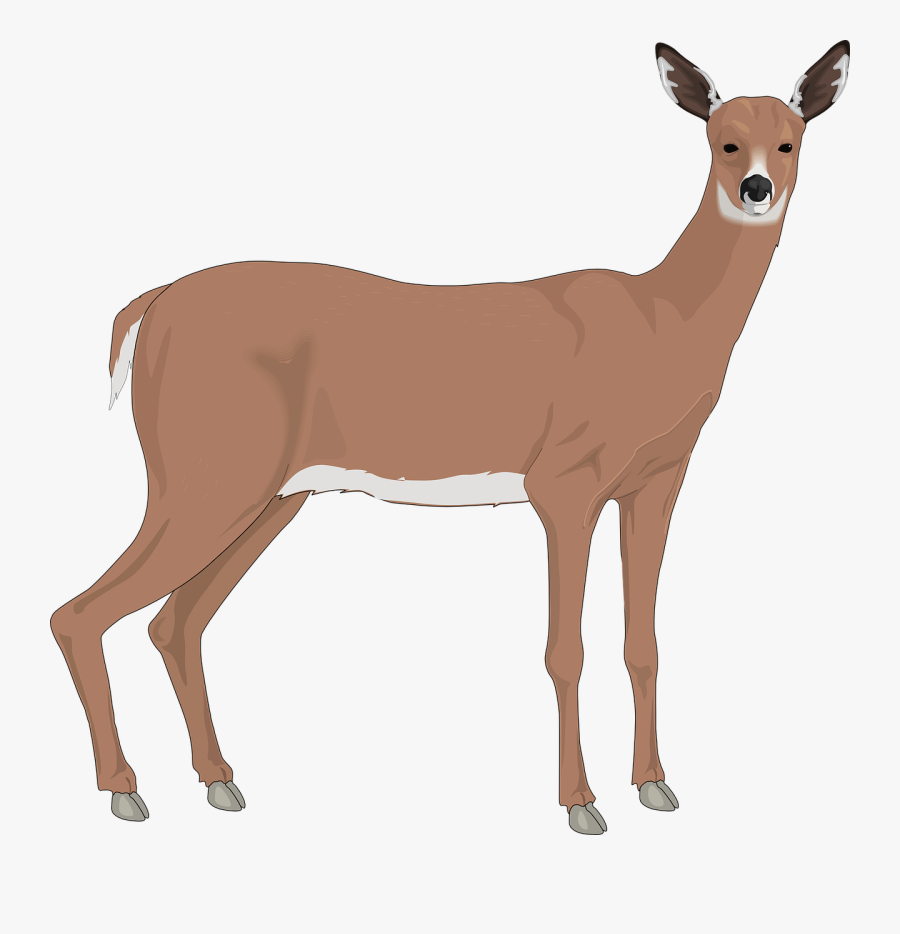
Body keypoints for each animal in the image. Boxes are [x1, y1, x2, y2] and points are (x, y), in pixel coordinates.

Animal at [51, 41, 850, 831]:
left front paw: (655, 785)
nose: (756, 188)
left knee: (174, 623)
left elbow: (643, 645)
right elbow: (565, 649)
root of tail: (148, 308)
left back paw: (219, 782)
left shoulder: (658, 482)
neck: (665, 323)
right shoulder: (565, 483)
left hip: (270, 495)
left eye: (790, 139)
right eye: (723, 141)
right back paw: (125, 791)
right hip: (205, 477)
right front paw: (581, 803)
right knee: (80, 613)